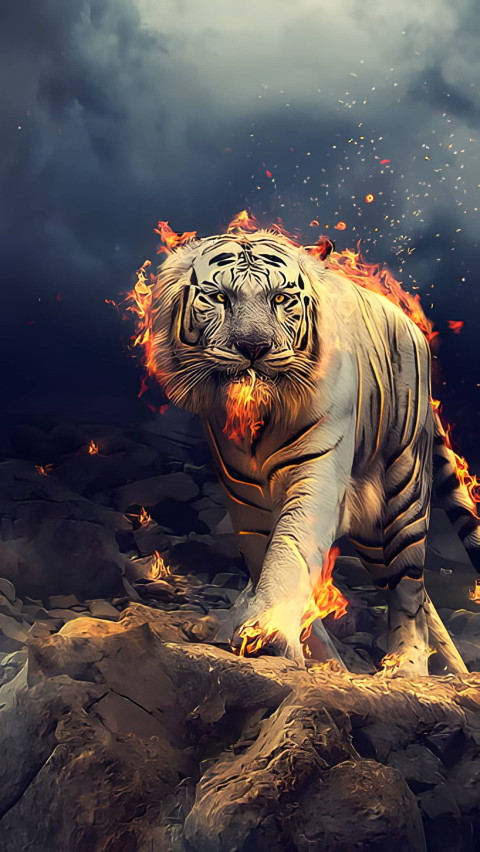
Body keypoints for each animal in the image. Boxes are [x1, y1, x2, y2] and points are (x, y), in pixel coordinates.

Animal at [147, 228, 480, 676]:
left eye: (280, 298)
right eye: (218, 297)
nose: (254, 347)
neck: (259, 418)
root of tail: (410, 325)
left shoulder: (316, 476)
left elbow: (291, 551)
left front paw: (268, 632)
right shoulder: (245, 500)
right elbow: (269, 559)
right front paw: (316, 657)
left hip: (403, 495)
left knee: (408, 587)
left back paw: (408, 666)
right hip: (374, 539)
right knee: (414, 590)